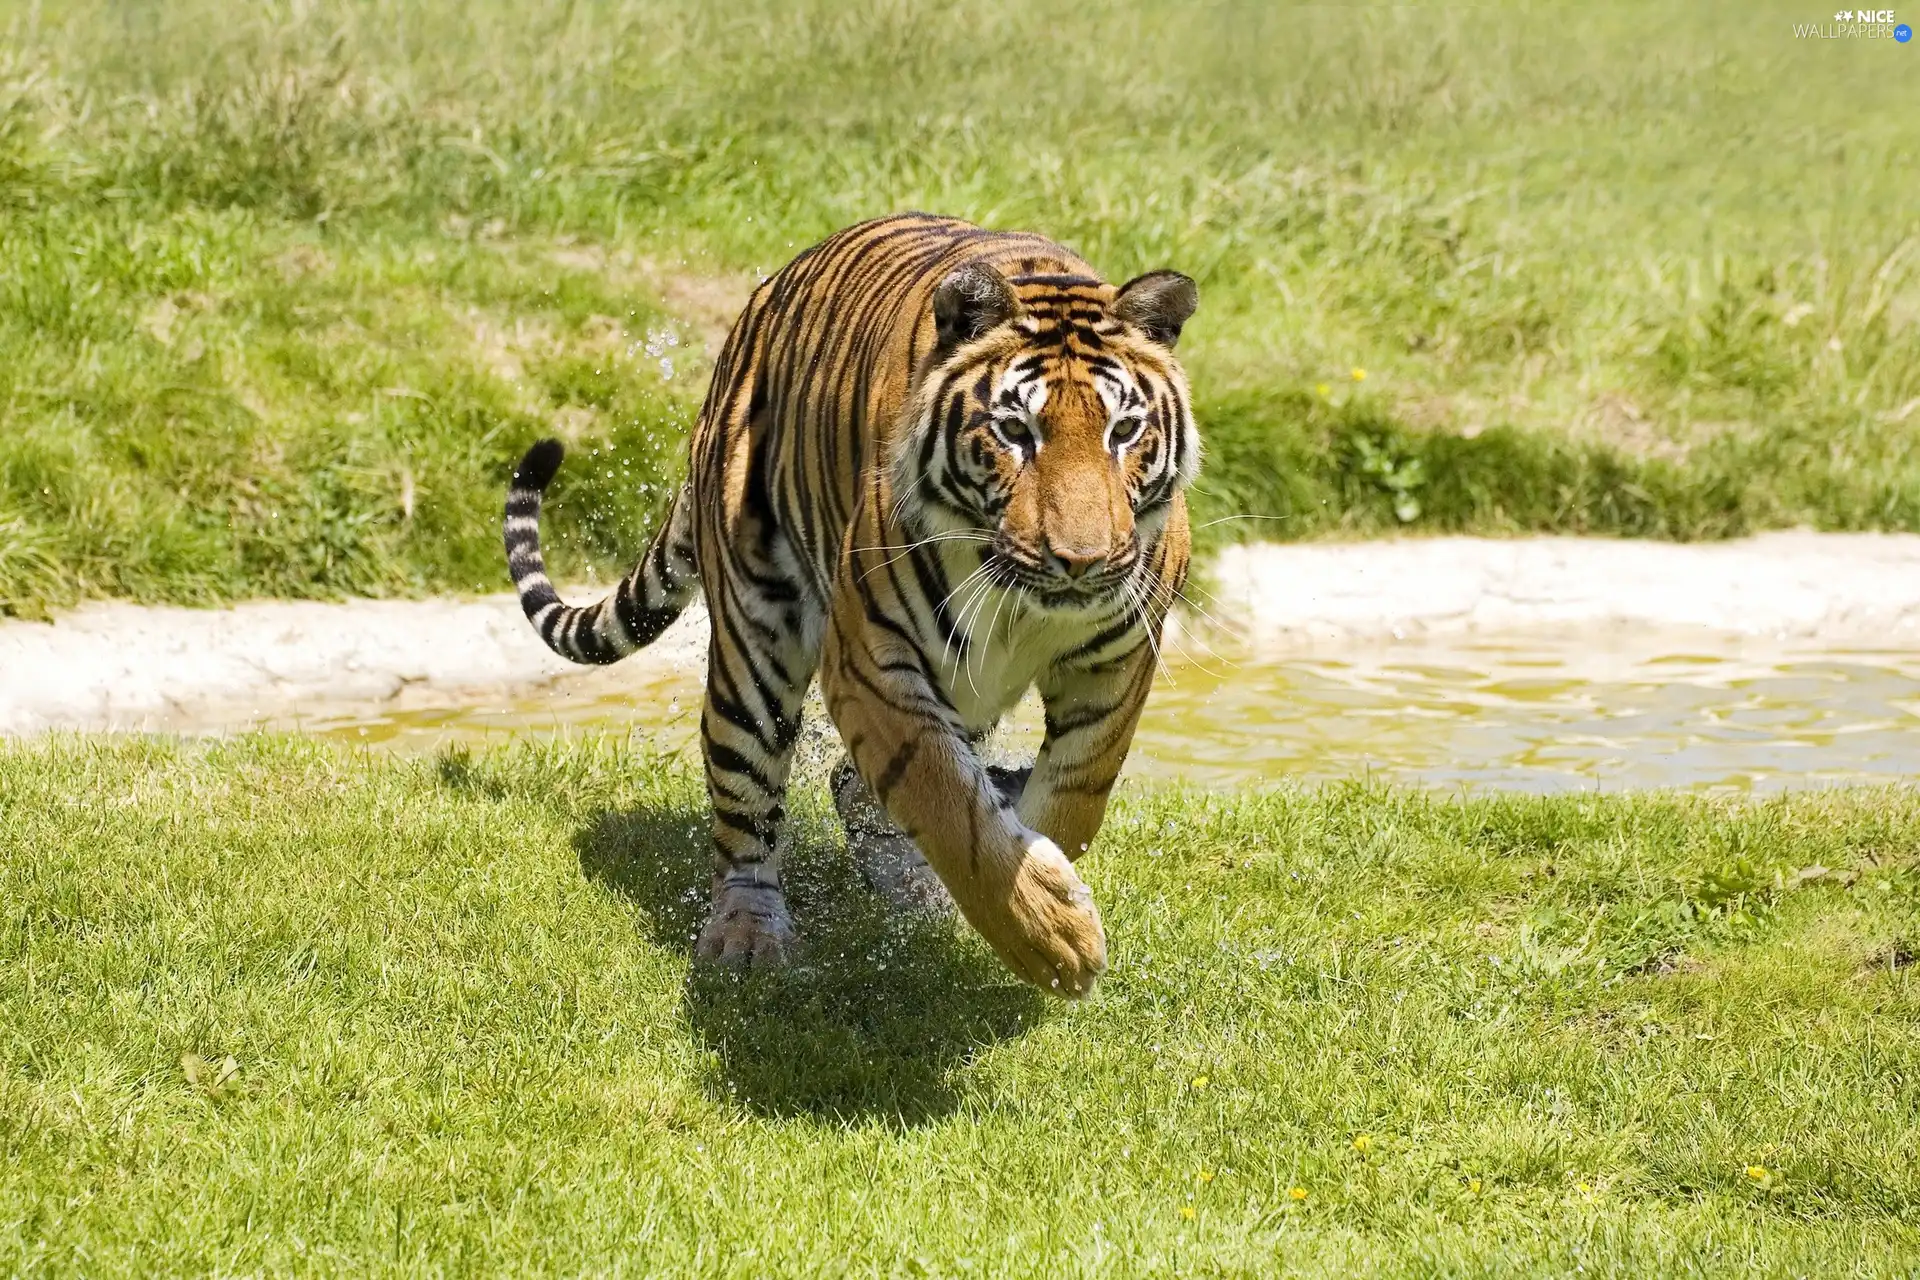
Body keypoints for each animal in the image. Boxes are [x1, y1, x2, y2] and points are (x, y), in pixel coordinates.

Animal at [503, 210, 1190, 997]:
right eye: (1016, 431)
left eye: (1123, 431)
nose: (1080, 563)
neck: (1028, 605)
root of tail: (753, 316)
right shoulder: (871, 661)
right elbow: (945, 800)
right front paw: (1055, 940)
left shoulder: (1121, 659)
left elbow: (1077, 796)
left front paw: (1044, 874)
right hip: (755, 646)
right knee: (748, 807)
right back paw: (747, 937)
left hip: (967, 689)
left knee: (851, 781)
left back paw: (912, 888)